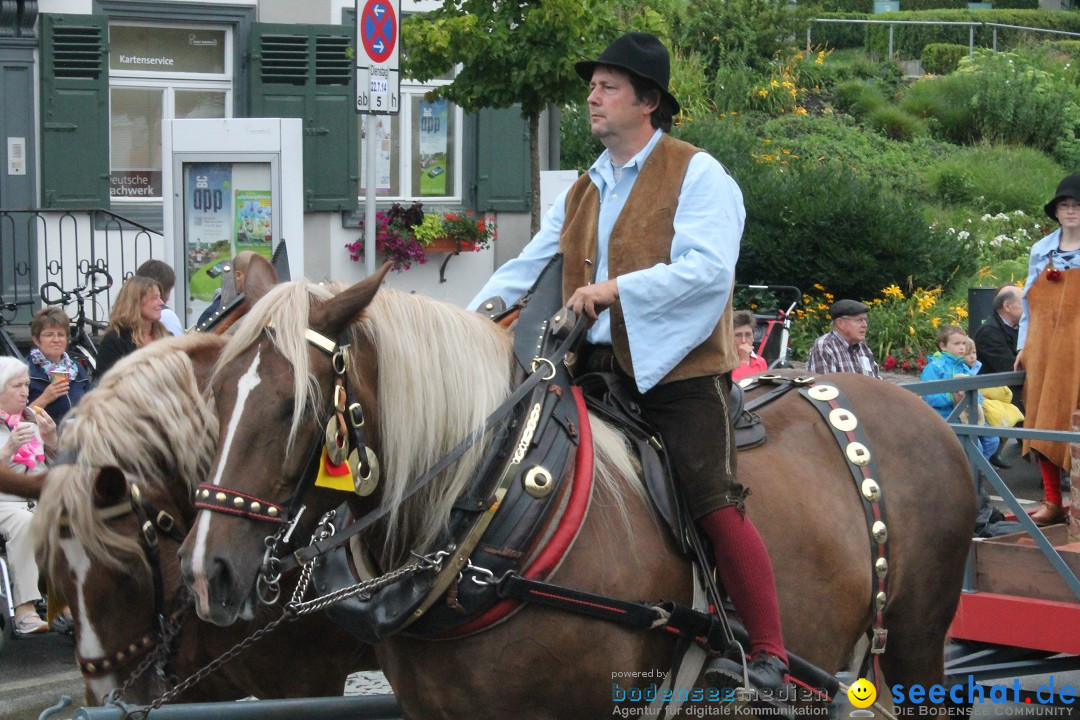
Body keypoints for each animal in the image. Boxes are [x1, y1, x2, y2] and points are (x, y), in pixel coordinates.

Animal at [179, 273, 980, 716]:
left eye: (297, 407)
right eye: (212, 394)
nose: (206, 572)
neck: (500, 508)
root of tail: (922, 412)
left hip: (916, 646)